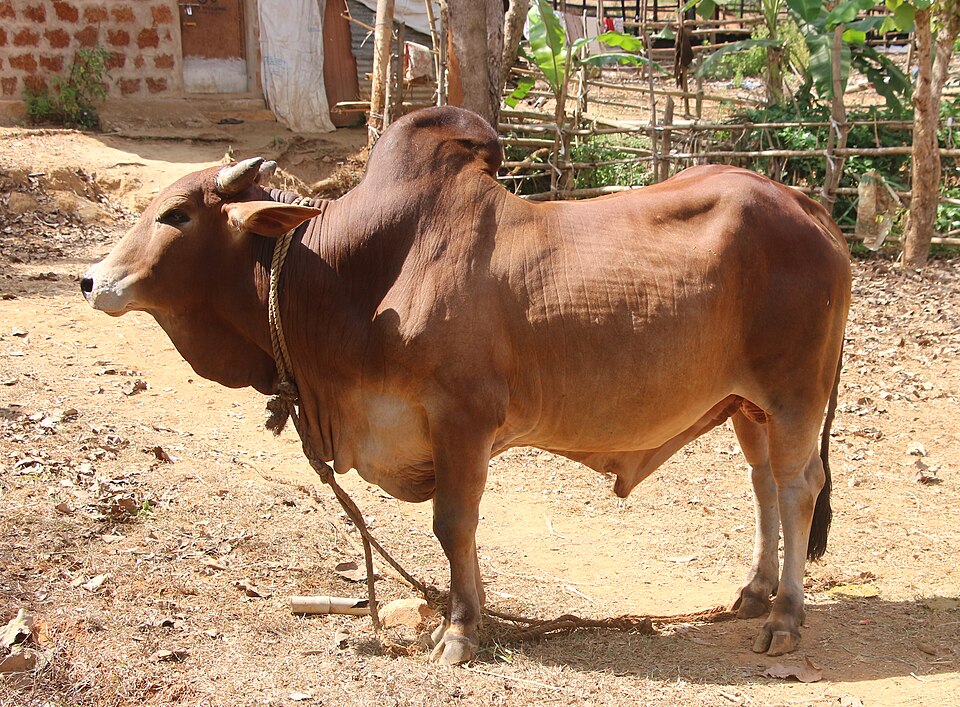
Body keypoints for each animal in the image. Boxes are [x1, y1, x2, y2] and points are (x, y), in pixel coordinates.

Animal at [81, 106, 851, 665]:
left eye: (176, 214)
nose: (91, 280)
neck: (354, 276)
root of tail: (803, 203)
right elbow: (463, 531)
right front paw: (471, 618)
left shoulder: (461, 420)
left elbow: (453, 522)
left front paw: (457, 632)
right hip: (747, 405)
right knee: (763, 486)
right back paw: (754, 592)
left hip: (793, 394)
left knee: (796, 488)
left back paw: (786, 618)